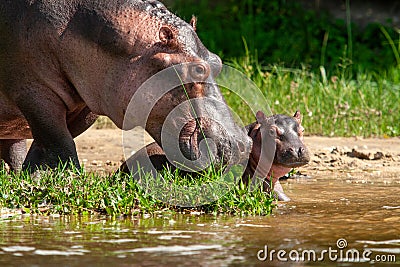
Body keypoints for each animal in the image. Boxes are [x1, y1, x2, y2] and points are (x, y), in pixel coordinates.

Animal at [0, 0, 250, 172]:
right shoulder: (33, 91)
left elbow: (54, 140)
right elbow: (59, 142)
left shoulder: (88, 103)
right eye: (197, 70)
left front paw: (32, 174)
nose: (242, 144)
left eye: (217, 61)